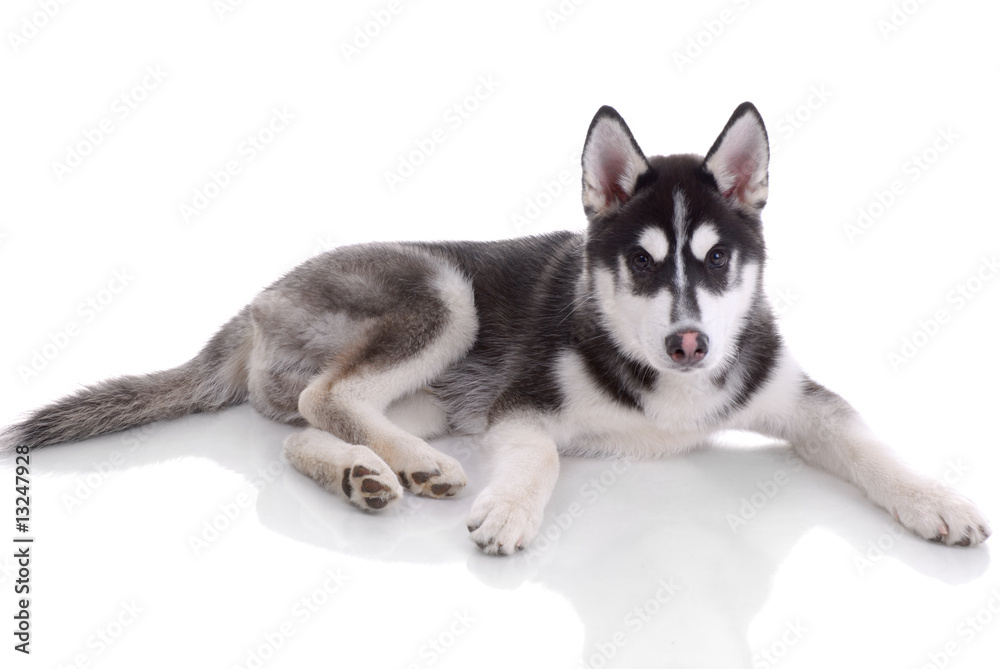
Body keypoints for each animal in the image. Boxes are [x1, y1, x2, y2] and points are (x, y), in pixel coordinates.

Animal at [1, 103, 992, 552]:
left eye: (716, 259)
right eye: (642, 262)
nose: (691, 344)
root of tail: (253, 303)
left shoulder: (798, 397)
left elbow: (868, 442)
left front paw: (936, 499)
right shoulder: (521, 405)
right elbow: (543, 454)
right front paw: (510, 508)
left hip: (433, 392)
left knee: (301, 429)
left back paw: (368, 471)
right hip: (444, 294)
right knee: (328, 393)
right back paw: (410, 466)